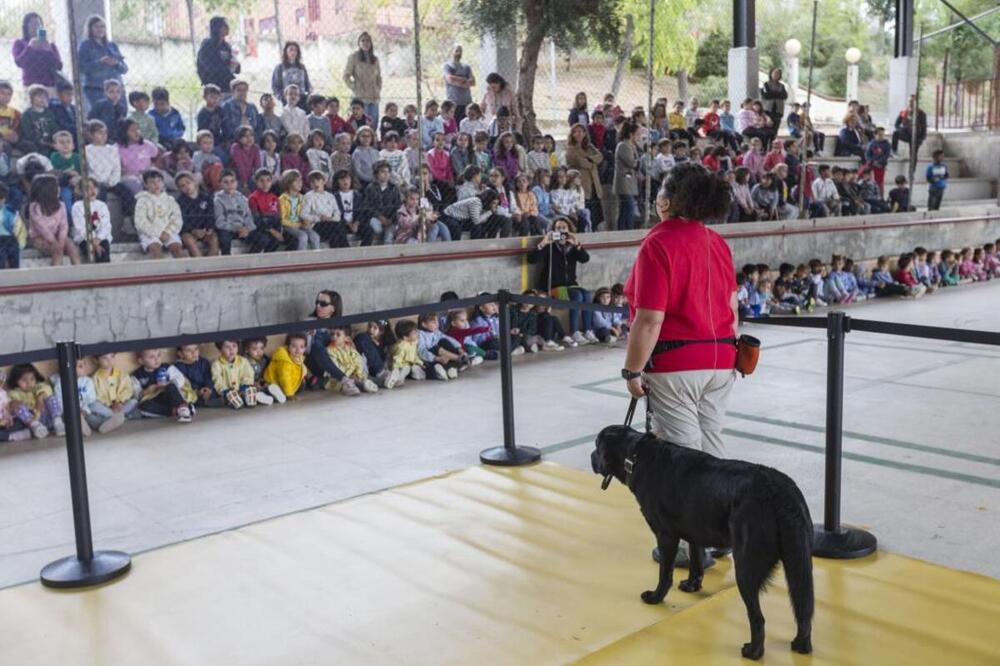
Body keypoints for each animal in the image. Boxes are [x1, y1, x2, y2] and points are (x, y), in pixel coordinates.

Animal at [592, 426, 812, 660]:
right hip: (798, 562)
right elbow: (696, 561)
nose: (591, 457)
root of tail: (780, 492)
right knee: (804, 607)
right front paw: (692, 586)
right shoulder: (695, 531)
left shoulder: (666, 534)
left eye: (596, 446)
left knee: (758, 617)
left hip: (747, 566)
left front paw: (656, 597)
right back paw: (801, 643)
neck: (636, 455)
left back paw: (753, 651)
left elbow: (665, 573)